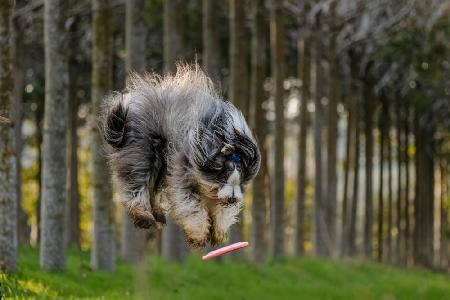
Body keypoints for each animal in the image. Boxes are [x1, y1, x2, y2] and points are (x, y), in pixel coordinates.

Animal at [101, 64, 260, 247]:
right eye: (222, 176)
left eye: (241, 179)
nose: (232, 199)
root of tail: (131, 106)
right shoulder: (183, 170)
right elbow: (191, 205)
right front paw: (199, 235)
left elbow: (220, 209)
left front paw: (219, 231)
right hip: (142, 153)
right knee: (136, 185)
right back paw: (144, 216)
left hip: (160, 165)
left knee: (152, 190)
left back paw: (158, 215)